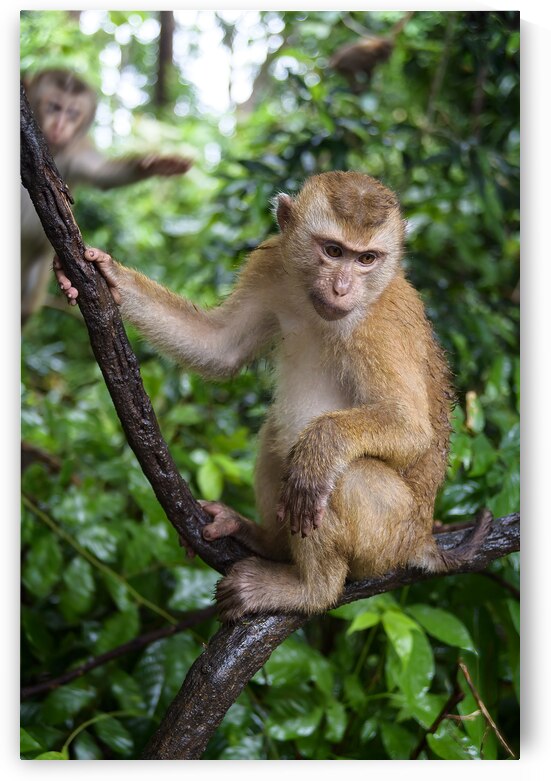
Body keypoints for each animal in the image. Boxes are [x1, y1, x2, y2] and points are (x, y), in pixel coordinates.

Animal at [21, 68, 193, 324]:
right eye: (54, 107)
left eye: (72, 113)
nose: (61, 126)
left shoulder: (76, 153)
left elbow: (104, 175)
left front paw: (155, 165)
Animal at [54, 171, 492, 621]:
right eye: (333, 250)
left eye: (366, 259)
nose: (342, 288)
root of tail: (421, 539)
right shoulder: (270, 265)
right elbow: (220, 348)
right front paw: (110, 277)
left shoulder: (380, 324)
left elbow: (409, 426)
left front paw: (320, 450)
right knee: (277, 435)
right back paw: (265, 541)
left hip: (388, 536)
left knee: (341, 475)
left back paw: (312, 587)